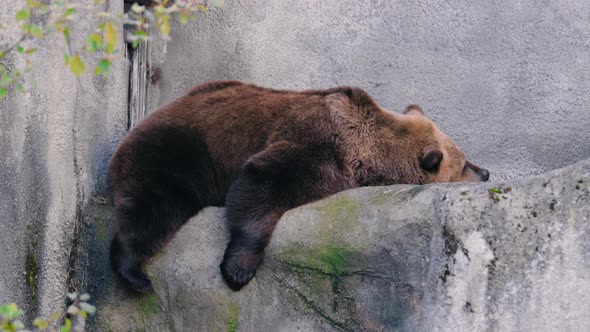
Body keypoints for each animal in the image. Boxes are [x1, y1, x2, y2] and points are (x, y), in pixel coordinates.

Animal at [108, 80, 492, 290]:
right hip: (176, 153)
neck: (367, 149)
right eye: (464, 162)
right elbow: (264, 180)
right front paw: (238, 269)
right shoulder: (320, 146)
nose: (486, 172)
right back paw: (134, 273)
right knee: (152, 209)